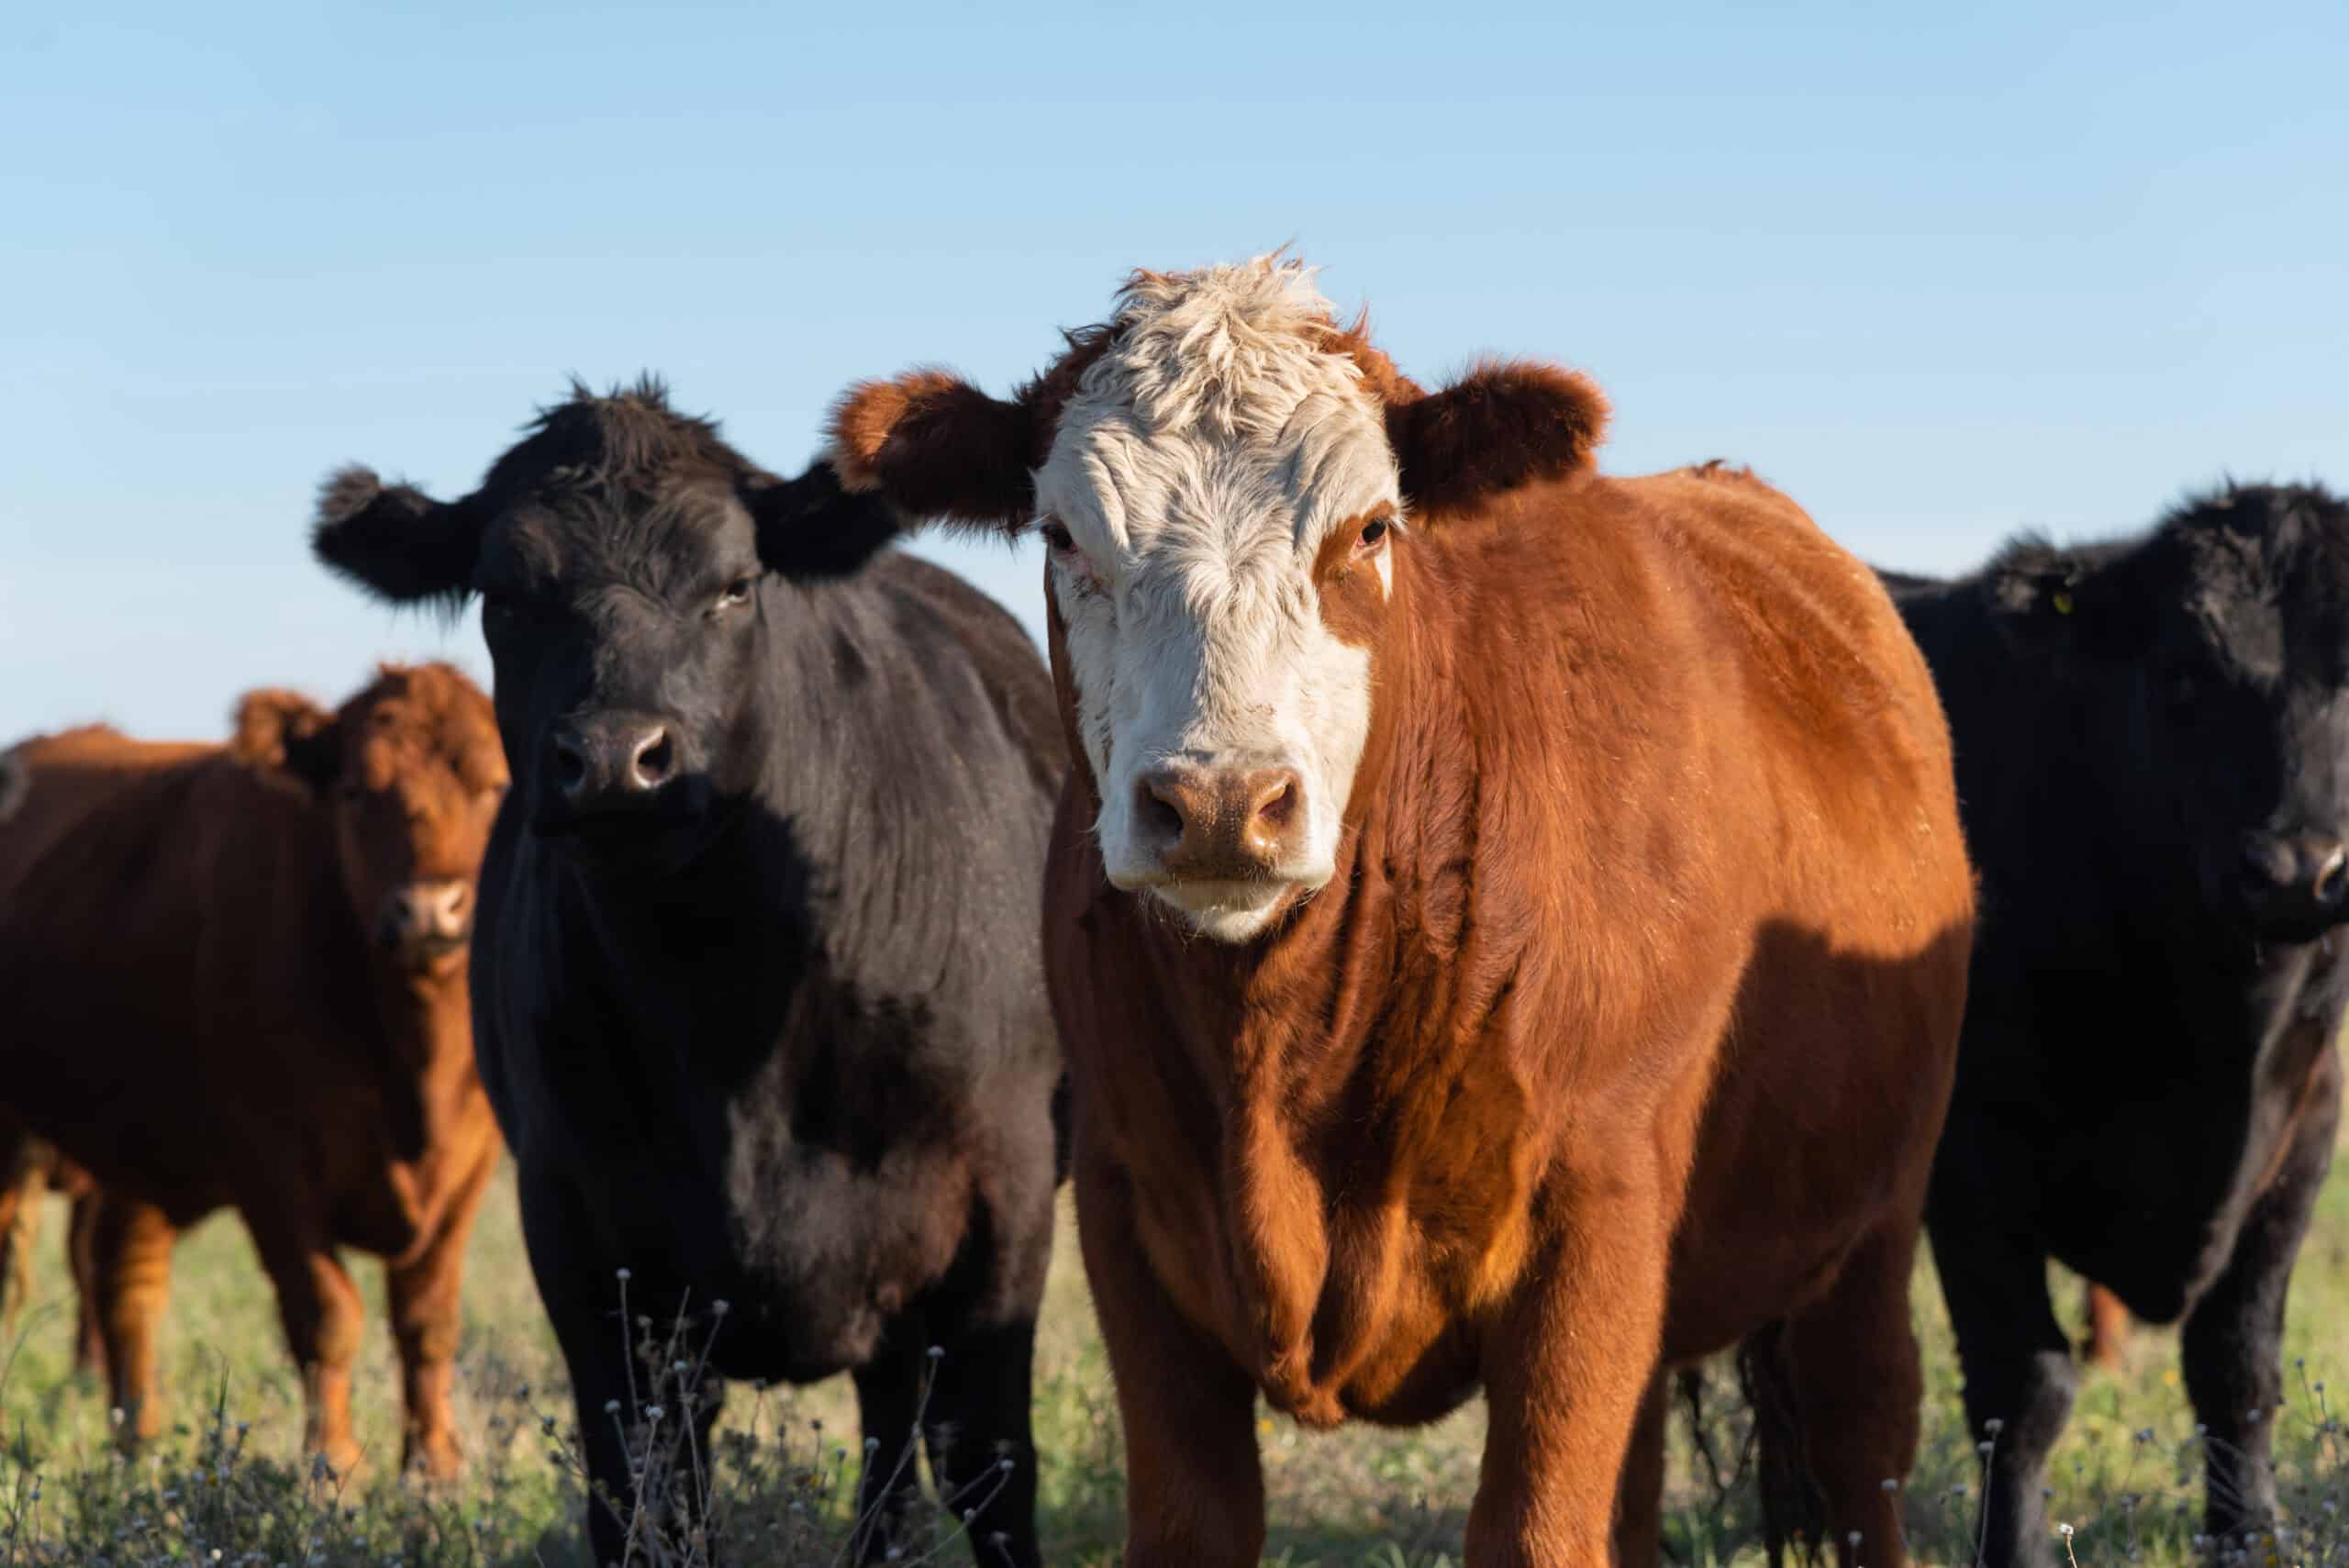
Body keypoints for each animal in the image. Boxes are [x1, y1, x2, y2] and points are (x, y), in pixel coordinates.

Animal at [0, 664, 506, 1478]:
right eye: (355, 790)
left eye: (494, 784)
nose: (430, 909)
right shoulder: (272, 1165)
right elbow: (327, 1316)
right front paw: (332, 1468)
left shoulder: (469, 1167)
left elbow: (428, 1322)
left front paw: (435, 1472)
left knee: (123, 1278)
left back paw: (138, 1442)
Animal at [308, 380, 1067, 1568]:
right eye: (504, 595)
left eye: (734, 585)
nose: (618, 759)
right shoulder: (578, 1228)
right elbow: (643, 1489)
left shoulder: (1005, 1196)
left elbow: (990, 1471)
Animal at [826, 256, 1977, 1568]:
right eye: (1063, 534)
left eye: (1370, 528)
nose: (1221, 802)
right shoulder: (1127, 1210)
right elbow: (1195, 1518)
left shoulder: (1598, 1210)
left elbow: (1534, 1528)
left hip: (1873, 1225)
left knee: (1860, 1433)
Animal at [1888, 482, 2349, 1568]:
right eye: (2180, 675)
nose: (2296, 870)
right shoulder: (1970, 1156)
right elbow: (2023, 1388)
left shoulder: (2307, 1129)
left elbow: (2236, 1370)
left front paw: (2248, 1537)